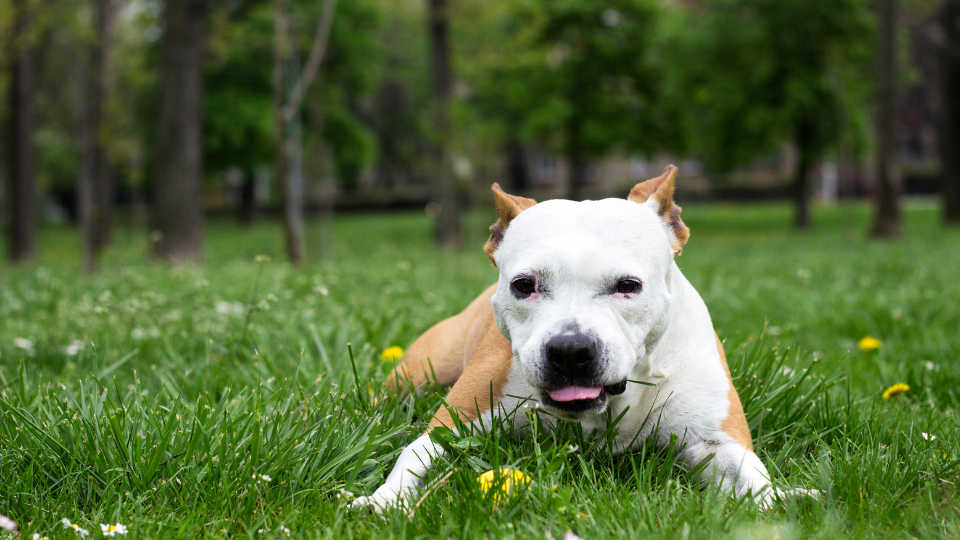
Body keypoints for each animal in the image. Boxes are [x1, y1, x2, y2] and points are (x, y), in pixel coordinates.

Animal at [352, 165, 808, 510]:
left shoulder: (715, 438)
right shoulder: (453, 423)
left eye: (628, 285)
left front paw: (782, 499)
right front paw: (382, 500)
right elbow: (415, 454)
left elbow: (750, 473)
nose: (570, 350)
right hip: (419, 373)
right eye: (524, 285)